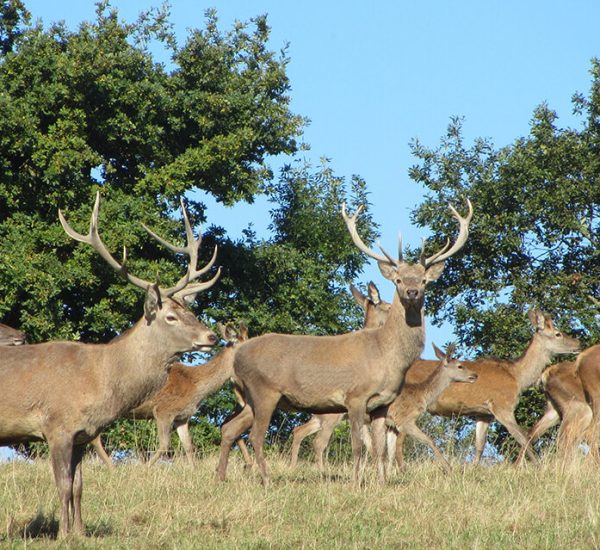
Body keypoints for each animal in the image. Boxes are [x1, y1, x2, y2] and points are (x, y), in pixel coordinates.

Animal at [0, 194, 219, 540]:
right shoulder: (56, 426)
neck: (99, 379)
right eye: (171, 316)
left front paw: (80, 533)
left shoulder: (82, 434)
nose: (211, 336)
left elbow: (79, 487)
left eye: (192, 312)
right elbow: (63, 485)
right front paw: (63, 535)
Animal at [89, 322, 248, 468]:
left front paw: (193, 471)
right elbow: (165, 445)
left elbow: (188, 446)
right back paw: (112, 468)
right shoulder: (163, 410)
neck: (195, 386)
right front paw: (145, 469)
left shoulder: (182, 417)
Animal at [384, 340, 478, 474]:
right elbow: (429, 440)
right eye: (460, 365)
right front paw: (449, 468)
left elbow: (390, 451)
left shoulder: (392, 424)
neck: (422, 395)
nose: (475, 375)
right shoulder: (404, 420)